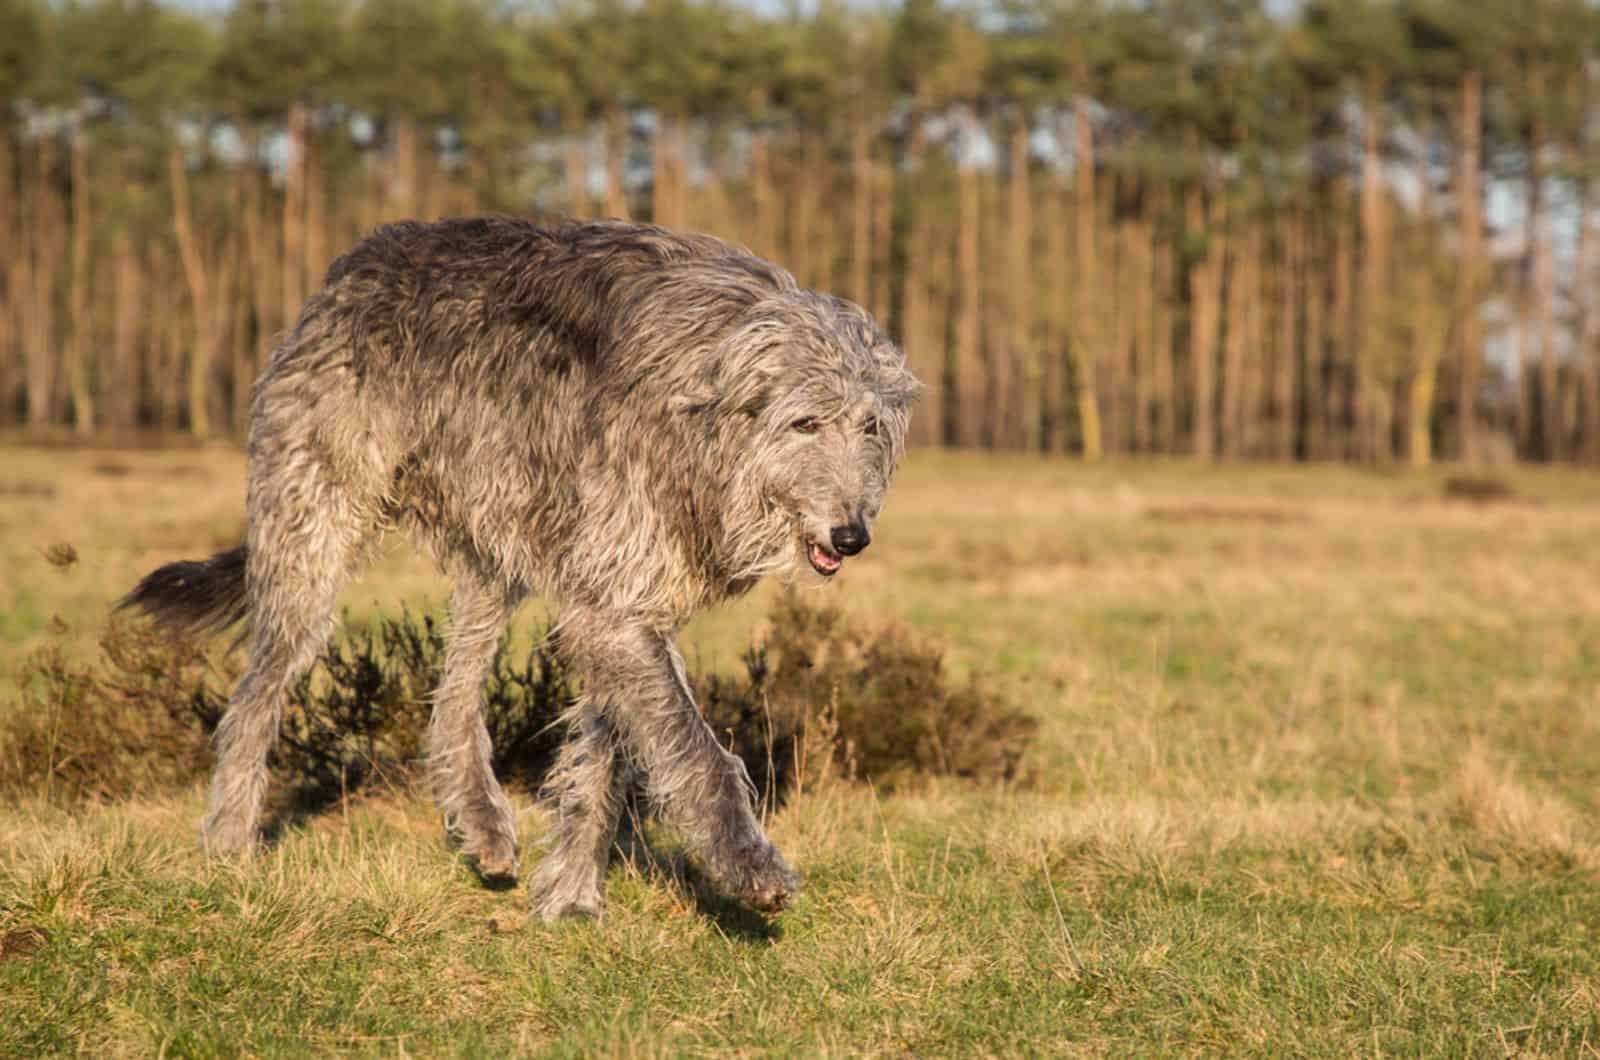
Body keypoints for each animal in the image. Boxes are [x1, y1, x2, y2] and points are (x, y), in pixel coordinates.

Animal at [123, 217, 921, 922]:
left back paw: (481, 823)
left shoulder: (622, 601)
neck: (704, 416)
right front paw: (749, 865)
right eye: (806, 422)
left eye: (871, 427)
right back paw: (229, 842)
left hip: (493, 552)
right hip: (312, 534)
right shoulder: (616, 604)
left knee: (452, 698)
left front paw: (571, 895)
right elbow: (695, 751)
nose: (851, 535)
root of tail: (347, 271)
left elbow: (605, 756)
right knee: (257, 693)